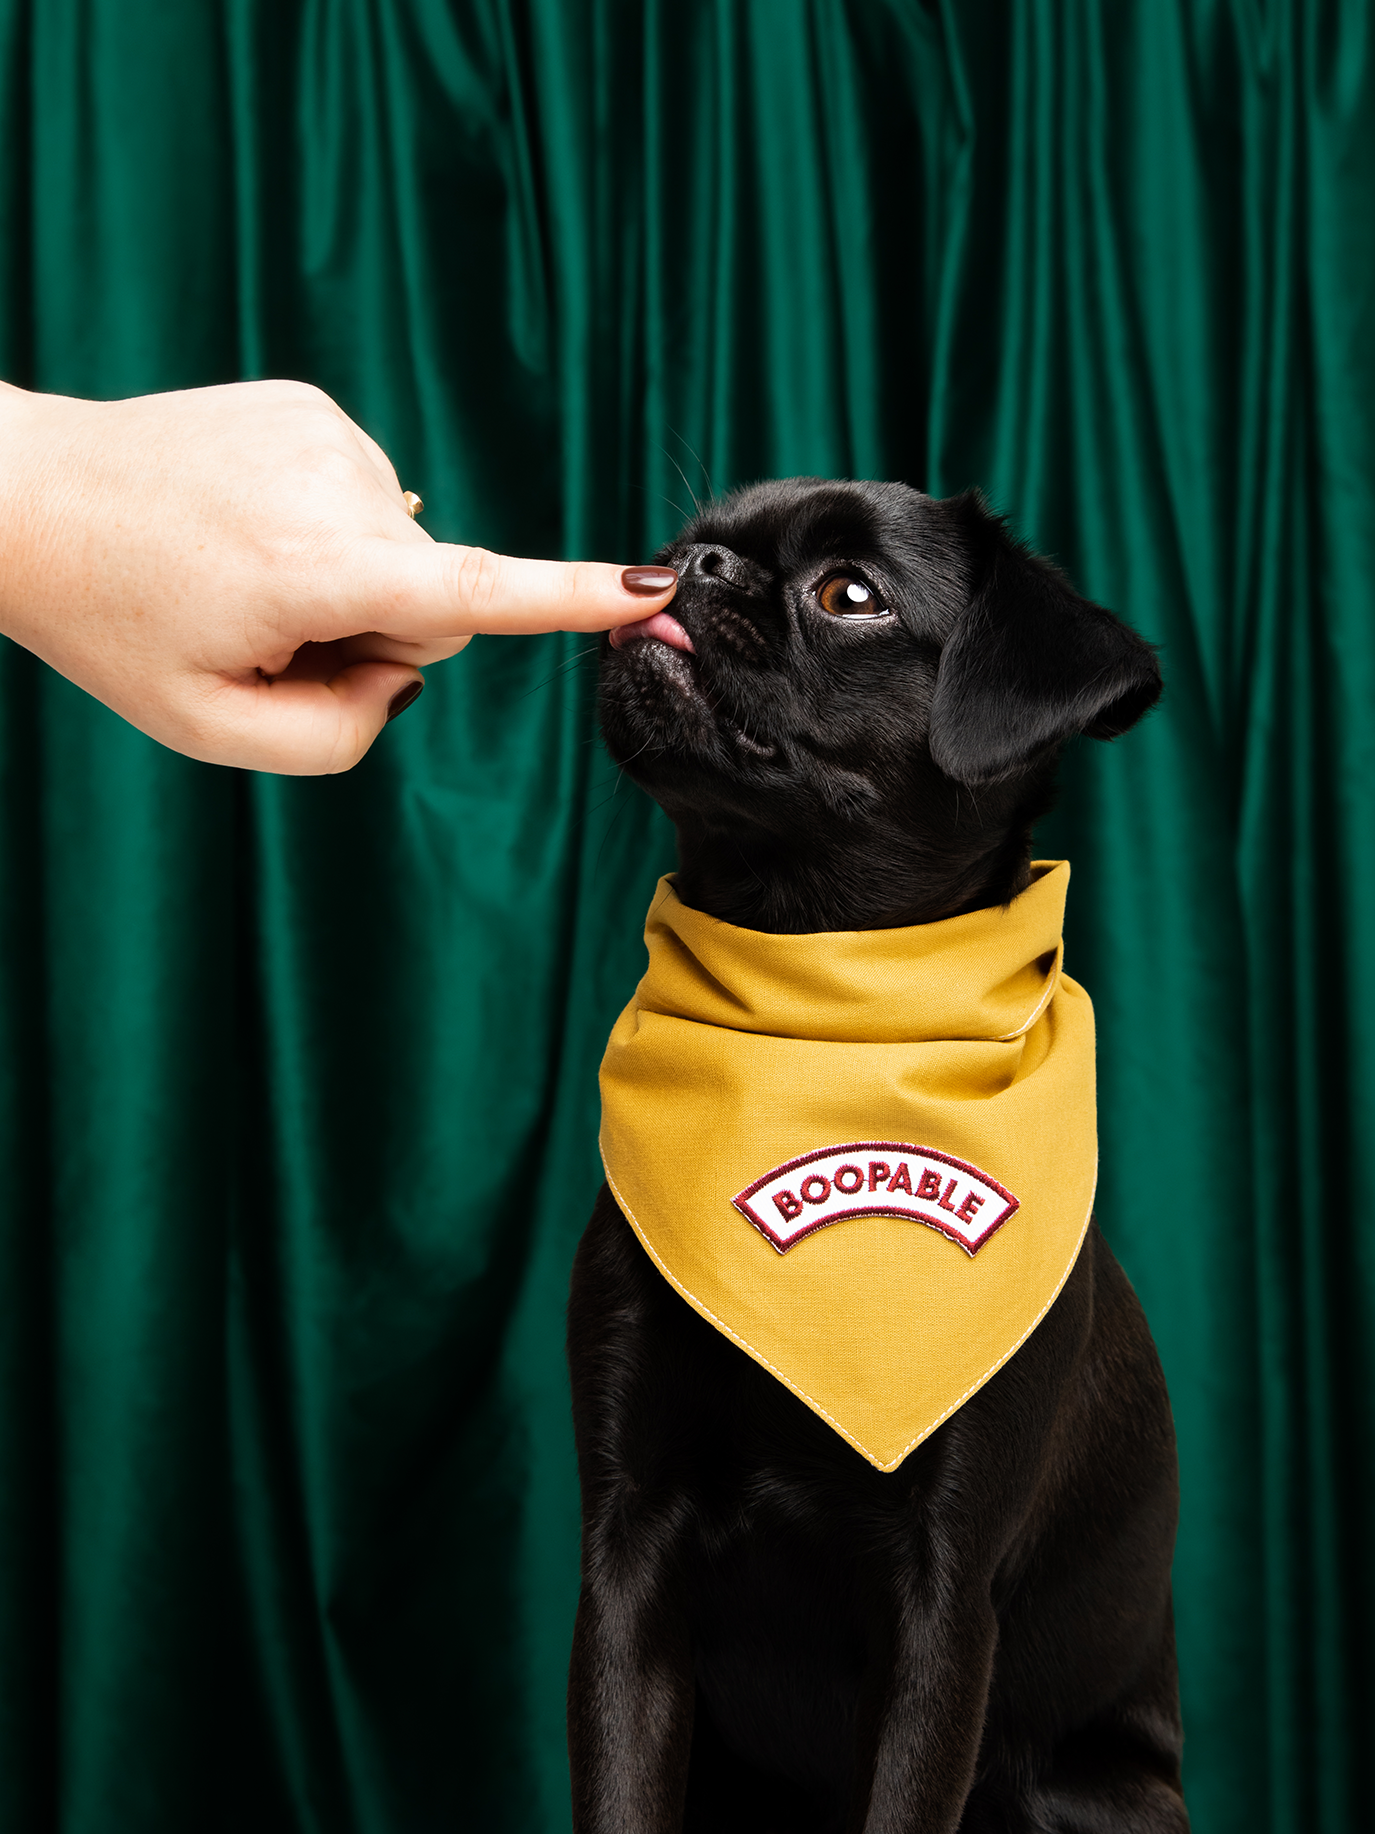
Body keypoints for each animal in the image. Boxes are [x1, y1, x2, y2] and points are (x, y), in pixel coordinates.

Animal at [564, 480, 1188, 1826]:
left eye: (849, 594)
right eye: (692, 538)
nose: (696, 563)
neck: (819, 1013)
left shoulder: (942, 1598)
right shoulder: (627, 1550)